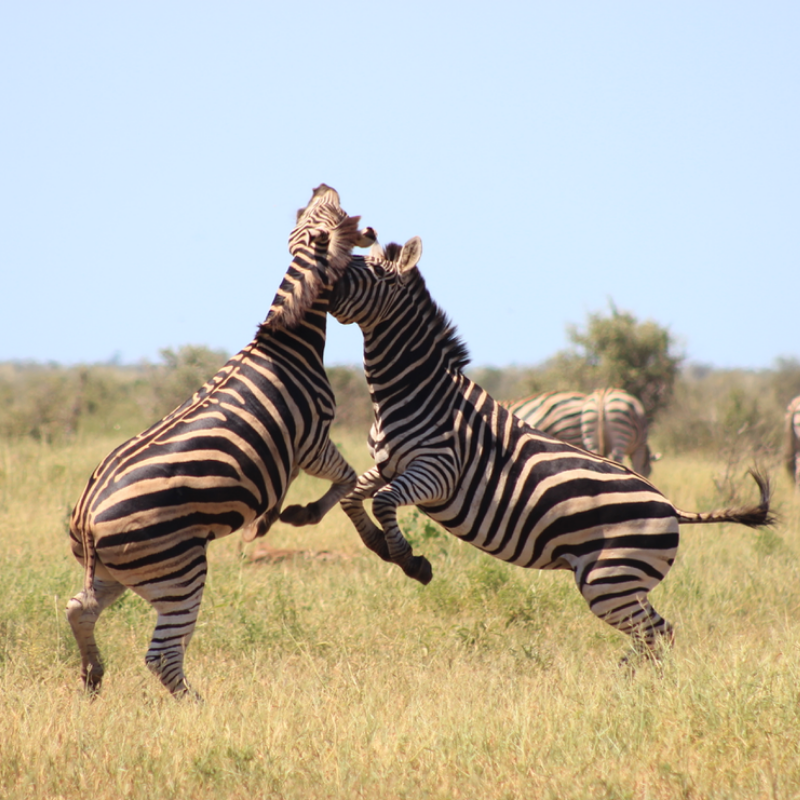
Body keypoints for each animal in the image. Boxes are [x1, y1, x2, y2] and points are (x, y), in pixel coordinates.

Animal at [66, 184, 376, 696]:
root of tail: (88, 516)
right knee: (162, 655)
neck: (286, 339)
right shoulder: (314, 439)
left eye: (315, 208)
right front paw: (305, 515)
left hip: (118, 571)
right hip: (178, 571)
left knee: (79, 609)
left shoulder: (300, 451)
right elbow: (347, 481)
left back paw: (93, 676)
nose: (322, 184)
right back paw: (199, 706)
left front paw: (270, 522)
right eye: (332, 212)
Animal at [328, 239, 772, 664]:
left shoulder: (439, 470)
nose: (324, 278)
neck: (415, 390)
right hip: (623, 582)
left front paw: (409, 560)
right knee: (655, 635)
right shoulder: (386, 464)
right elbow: (352, 499)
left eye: (373, 273)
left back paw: (636, 687)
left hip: (610, 580)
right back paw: (630, 680)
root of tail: (672, 508)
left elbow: (383, 501)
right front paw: (377, 544)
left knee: (658, 633)